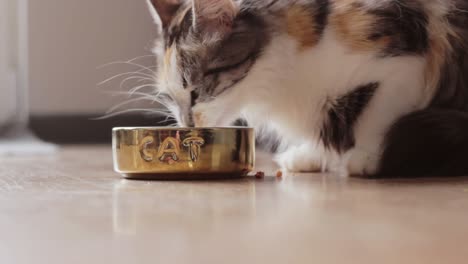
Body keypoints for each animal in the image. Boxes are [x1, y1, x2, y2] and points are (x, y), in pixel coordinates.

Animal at [145, 0, 468, 177]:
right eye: (171, 98)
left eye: (195, 92)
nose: (188, 126)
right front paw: (311, 155)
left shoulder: (403, 63)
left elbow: (375, 116)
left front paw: (368, 157)